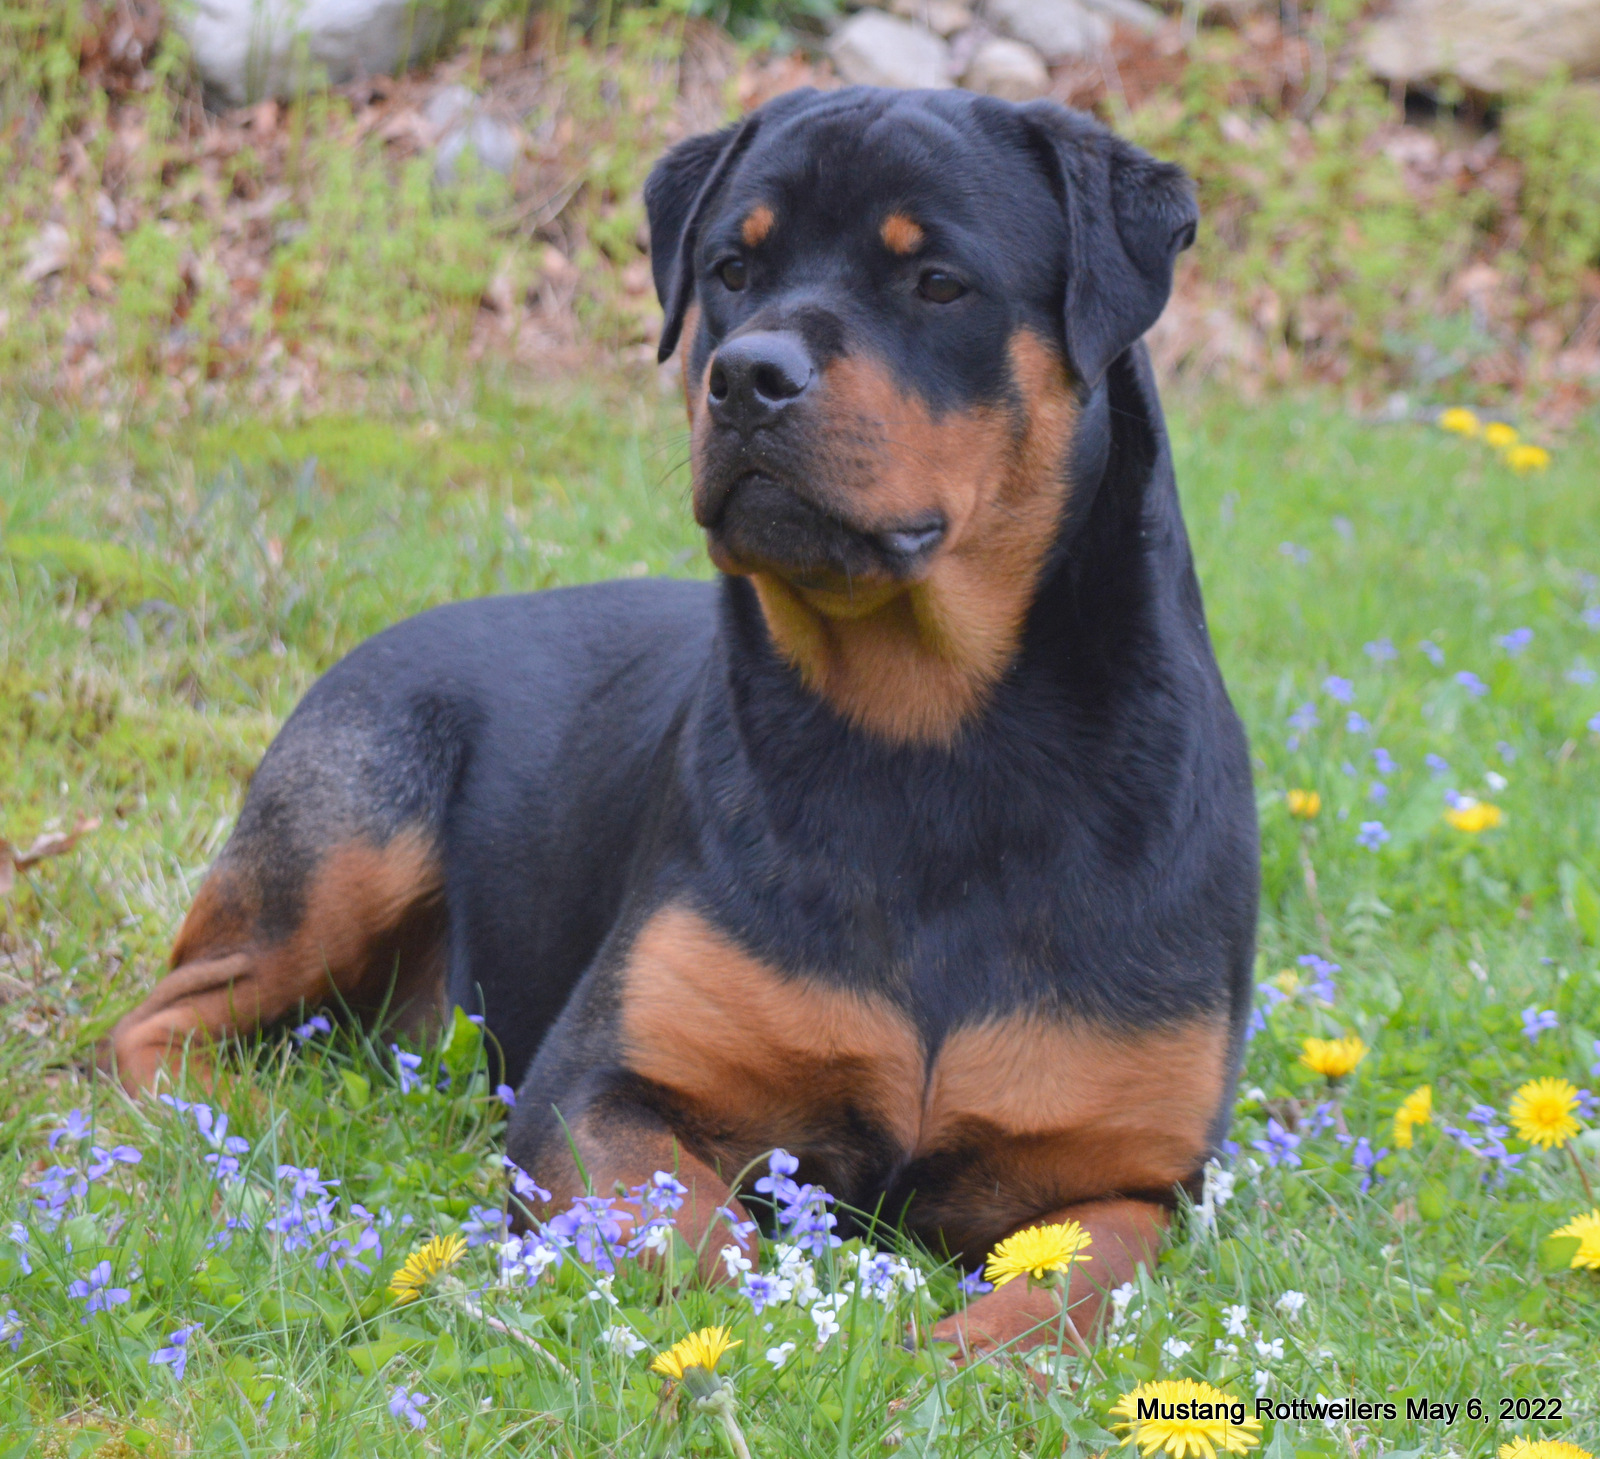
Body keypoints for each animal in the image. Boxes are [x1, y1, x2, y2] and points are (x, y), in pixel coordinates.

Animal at [108, 86, 1259, 1354]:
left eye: (937, 282)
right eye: (731, 269)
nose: (748, 375)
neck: (932, 744)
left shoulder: (1136, 1175)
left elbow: (1063, 1290)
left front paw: (944, 1357)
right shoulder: (596, 1084)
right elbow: (700, 1236)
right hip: (348, 828)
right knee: (161, 1018)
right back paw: (245, 1129)